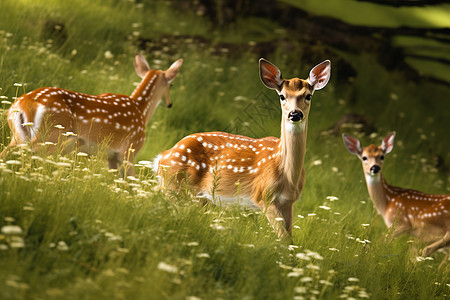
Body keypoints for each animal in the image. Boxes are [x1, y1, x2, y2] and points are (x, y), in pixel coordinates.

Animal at [2, 53, 183, 175]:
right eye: (171, 85)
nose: (170, 103)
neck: (141, 111)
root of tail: (25, 103)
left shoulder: (111, 156)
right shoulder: (129, 150)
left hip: (17, 134)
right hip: (51, 135)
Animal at [154, 58, 330, 240]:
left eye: (308, 96)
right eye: (282, 96)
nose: (295, 114)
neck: (286, 173)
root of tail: (162, 157)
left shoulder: (288, 202)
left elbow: (289, 240)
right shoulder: (264, 197)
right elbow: (283, 239)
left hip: (197, 197)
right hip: (175, 186)